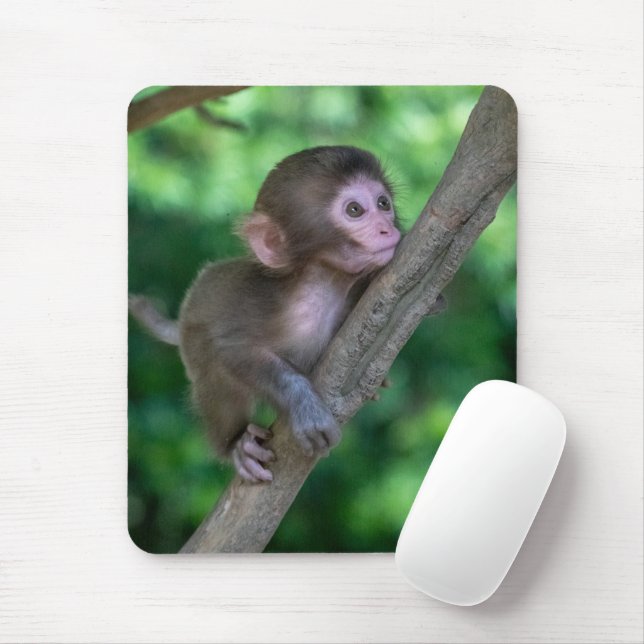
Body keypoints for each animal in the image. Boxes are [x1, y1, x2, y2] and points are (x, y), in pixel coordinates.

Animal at [131, 145, 402, 483]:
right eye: (355, 210)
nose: (388, 228)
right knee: (215, 375)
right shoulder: (259, 309)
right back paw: (236, 445)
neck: (322, 288)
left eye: (383, 203)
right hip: (194, 341)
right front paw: (304, 407)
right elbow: (232, 351)